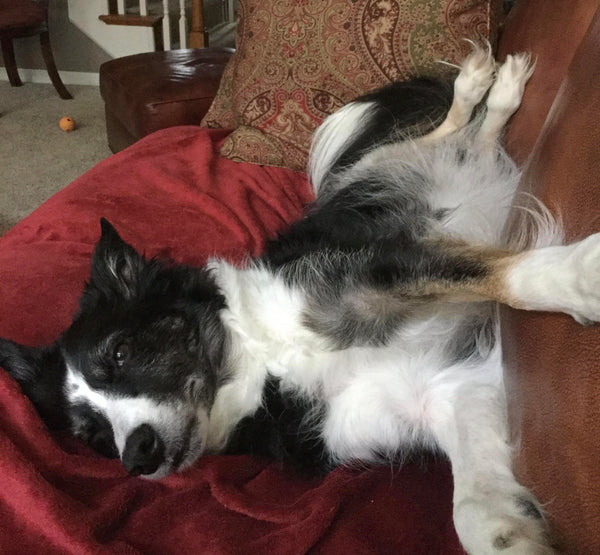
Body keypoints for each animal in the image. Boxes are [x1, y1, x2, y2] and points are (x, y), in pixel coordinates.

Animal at [5, 45, 600, 552]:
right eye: (93, 438)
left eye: (121, 351)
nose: (137, 456)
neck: (261, 361)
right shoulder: (434, 392)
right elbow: (477, 514)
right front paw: (517, 534)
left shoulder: (374, 273)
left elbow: (502, 273)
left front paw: (582, 276)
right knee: (466, 140)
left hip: (377, 169)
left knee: (442, 135)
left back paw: (487, 85)